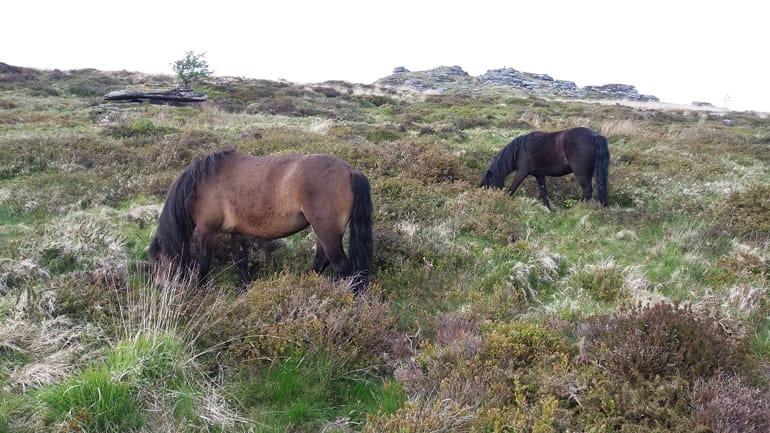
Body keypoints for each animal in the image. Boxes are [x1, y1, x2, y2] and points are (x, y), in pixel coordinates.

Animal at [148, 148, 374, 294]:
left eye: (158, 258)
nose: (158, 285)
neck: (203, 183)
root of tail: (350, 171)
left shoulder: (206, 231)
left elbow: (204, 263)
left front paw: (200, 290)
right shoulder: (236, 231)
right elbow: (240, 261)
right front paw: (244, 289)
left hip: (327, 232)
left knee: (342, 268)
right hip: (323, 232)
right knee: (322, 261)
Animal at [476, 126, 608, 208]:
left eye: (487, 186)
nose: (486, 201)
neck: (520, 150)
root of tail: (595, 136)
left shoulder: (522, 172)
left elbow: (512, 188)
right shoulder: (539, 175)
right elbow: (543, 192)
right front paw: (548, 210)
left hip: (581, 173)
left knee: (587, 190)